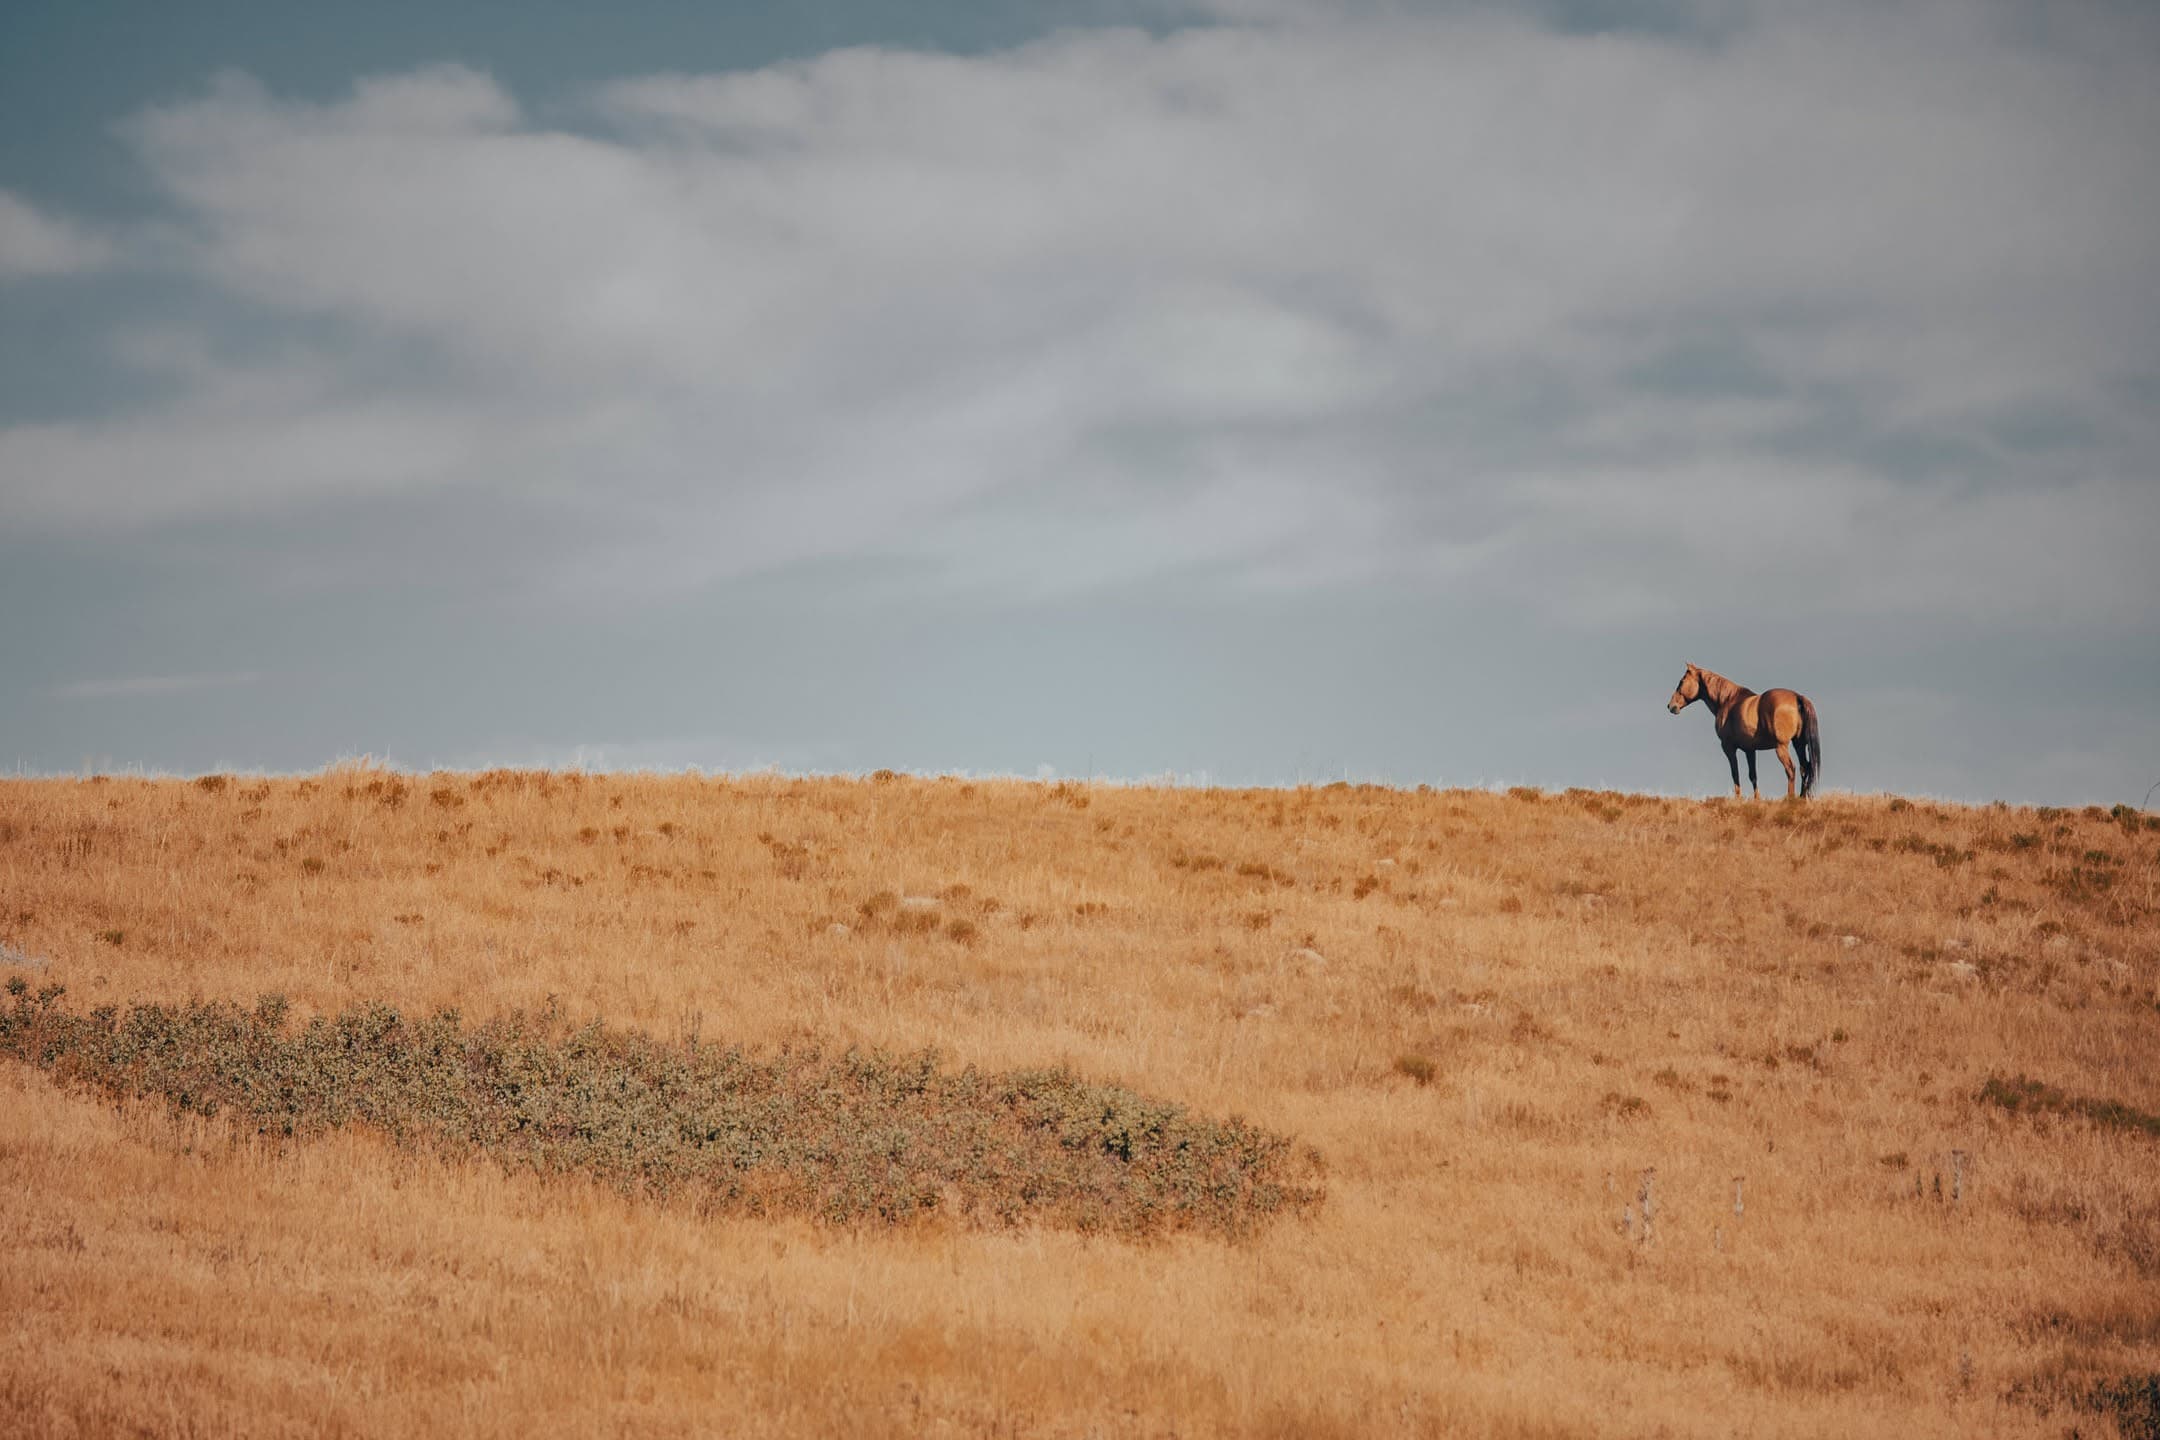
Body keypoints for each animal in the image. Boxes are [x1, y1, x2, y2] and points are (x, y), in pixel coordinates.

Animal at [1666, 662, 1820, 799]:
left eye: (1681, 681)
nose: (1671, 706)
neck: (1728, 700)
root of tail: (1797, 697)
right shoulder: (1749, 750)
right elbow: (1753, 776)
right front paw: (1756, 799)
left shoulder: (1728, 747)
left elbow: (1735, 774)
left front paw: (1738, 799)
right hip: (1798, 744)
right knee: (1804, 767)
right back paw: (1802, 797)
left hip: (1781, 747)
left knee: (1791, 769)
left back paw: (1790, 798)